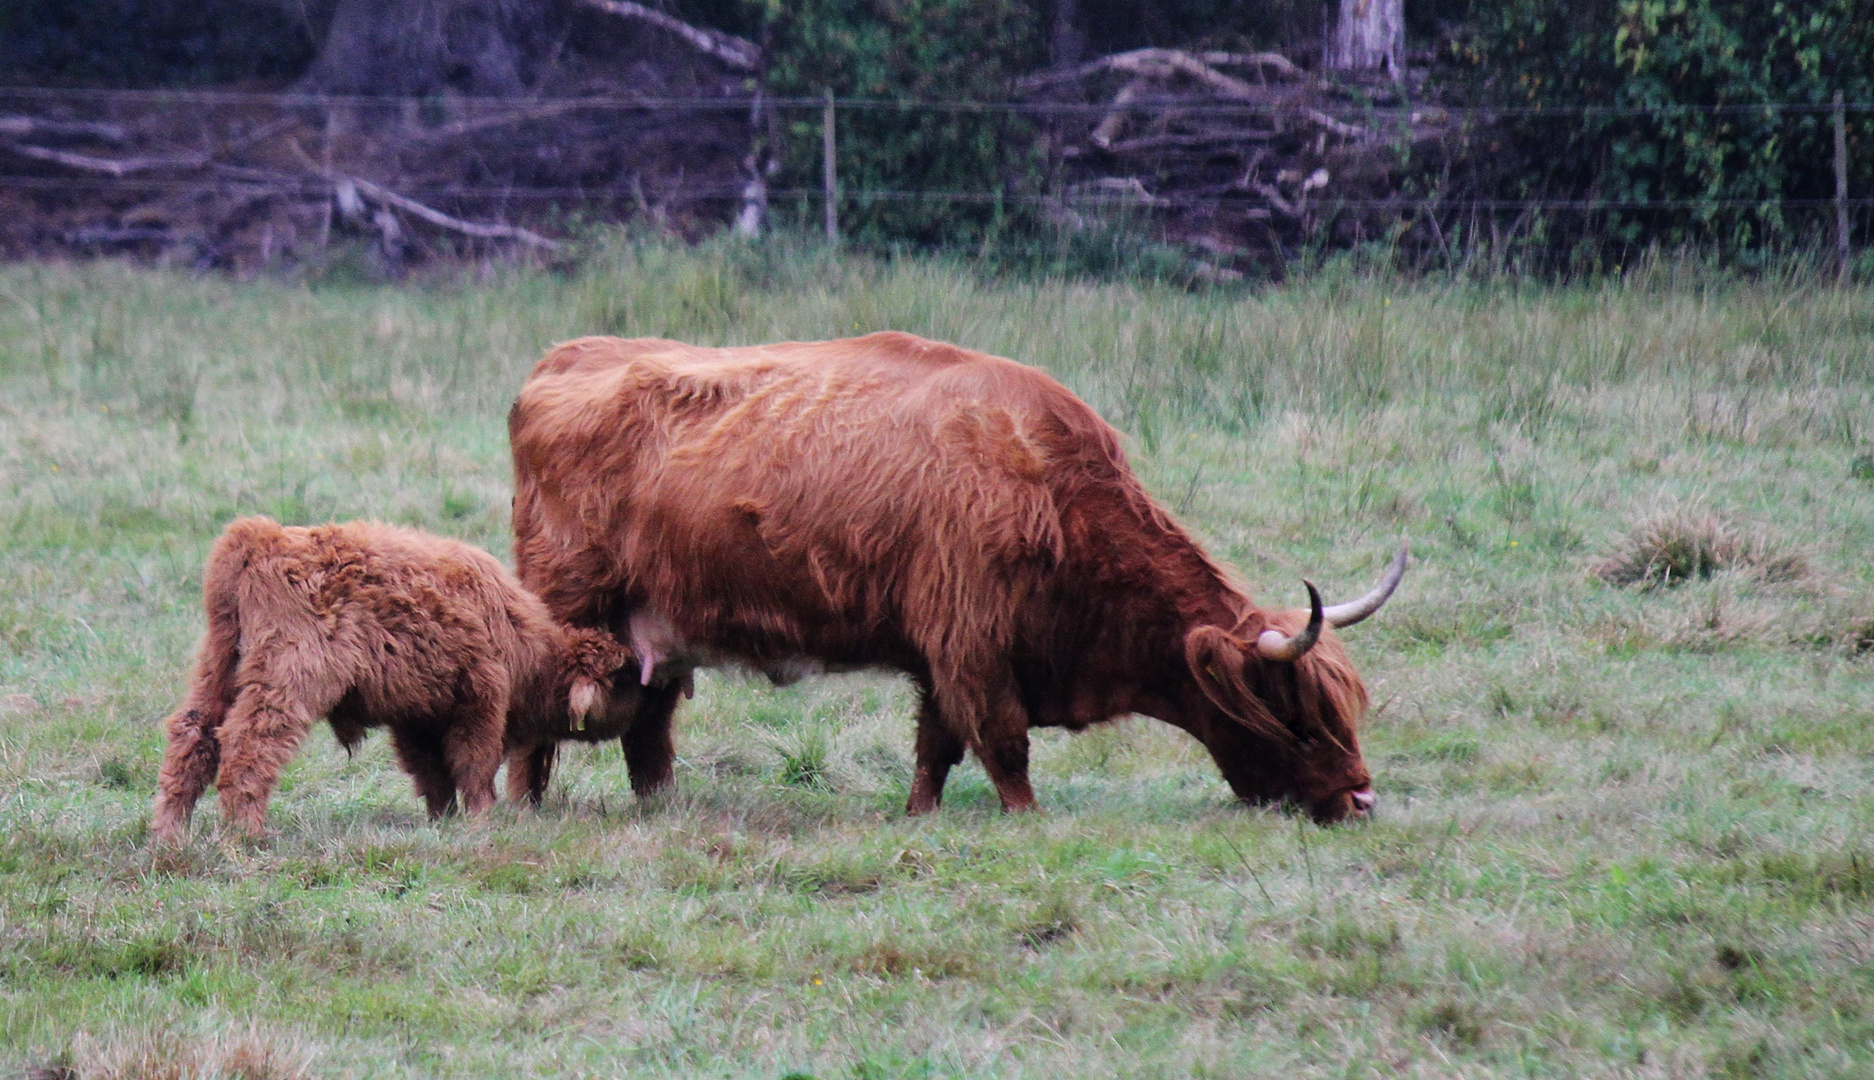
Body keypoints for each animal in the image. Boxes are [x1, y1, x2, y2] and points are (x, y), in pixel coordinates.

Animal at [149, 517, 633, 843]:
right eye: (622, 679)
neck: (523, 636)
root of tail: (260, 537)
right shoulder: (480, 701)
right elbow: (473, 765)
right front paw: (481, 818)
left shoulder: (417, 716)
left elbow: (434, 774)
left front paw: (444, 820)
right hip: (289, 678)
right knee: (248, 743)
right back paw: (247, 833)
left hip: (219, 668)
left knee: (193, 735)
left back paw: (169, 833)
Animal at [513, 333, 1409, 821]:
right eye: (1294, 714)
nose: (1362, 800)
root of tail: (563, 359)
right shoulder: (973, 641)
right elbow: (1002, 742)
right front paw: (1028, 818)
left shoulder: (943, 650)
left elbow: (936, 746)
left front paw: (918, 816)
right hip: (568, 608)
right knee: (540, 722)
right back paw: (524, 807)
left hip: (653, 633)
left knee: (648, 732)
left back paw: (663, 810)